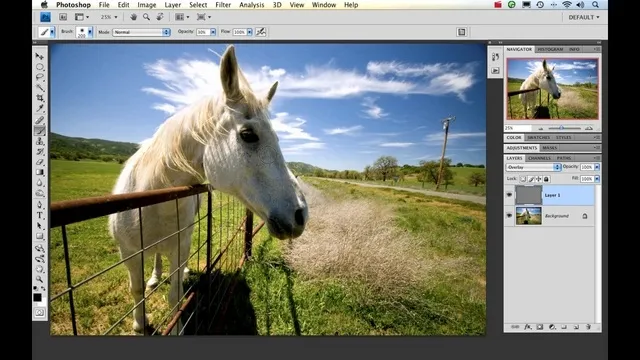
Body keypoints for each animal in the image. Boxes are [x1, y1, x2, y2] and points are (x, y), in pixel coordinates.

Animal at [107, 45, 308, 334]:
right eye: (248, 135)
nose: (301, 214)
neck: (152, 203)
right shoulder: (129, 253)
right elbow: (136, 290)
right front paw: (139, 323)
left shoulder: (180, 246)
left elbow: (175, 296)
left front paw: (176, 328)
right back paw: (154, 278)